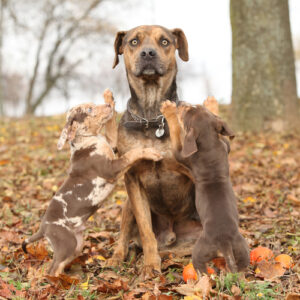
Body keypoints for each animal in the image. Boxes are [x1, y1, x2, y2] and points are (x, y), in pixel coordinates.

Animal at [21, 90, 163, 276]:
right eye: (89, 109)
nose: (108, 105)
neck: (90, 140)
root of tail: (43, 228)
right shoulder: (111, 168)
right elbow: (131, 154)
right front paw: (151, 152)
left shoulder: (112, 145)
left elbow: (111, 127)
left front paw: (109, 97)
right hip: (66, 244)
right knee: (52, 269)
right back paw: (58, 281)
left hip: (77, 244)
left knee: (58, 265)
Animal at [106, 24, 221, 278]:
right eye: (134, 41)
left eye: (165, 41)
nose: (148, 53)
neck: (151, 118)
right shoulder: (133, 179)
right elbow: (146, 229)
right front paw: (150, 265)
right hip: (127, 205)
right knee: (126, 235)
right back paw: (118, 257)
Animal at [161, 101, 250, 274]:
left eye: (185, 110)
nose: (179, 102)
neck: (209, 144)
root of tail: (224, 242)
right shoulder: (225, 145)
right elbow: (224, 137)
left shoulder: (181, 154)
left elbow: (175, 132)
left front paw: (168, 110)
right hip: (242, 248)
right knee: (242, 266)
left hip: (199, 251)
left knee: (200, 268)